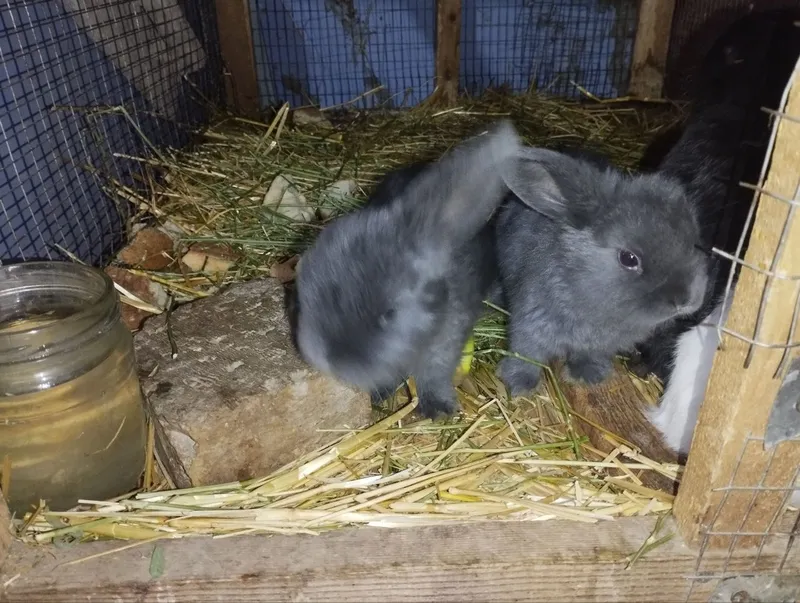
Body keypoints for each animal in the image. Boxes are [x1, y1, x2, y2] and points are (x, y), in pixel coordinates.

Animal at [288, 120, 522, 419]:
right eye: (304, 299)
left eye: (390, 313)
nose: (329, 360)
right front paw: (380, 396)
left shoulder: (444, 343)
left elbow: (433, 375)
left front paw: (438, 410)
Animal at [493, 146, 710, 396]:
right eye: (628, 258)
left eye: (694, 242)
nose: (687, 301)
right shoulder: (531, 322)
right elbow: (526, 352)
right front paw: (520, 385)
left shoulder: (599, 345)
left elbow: (590, 355)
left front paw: (588, 375)